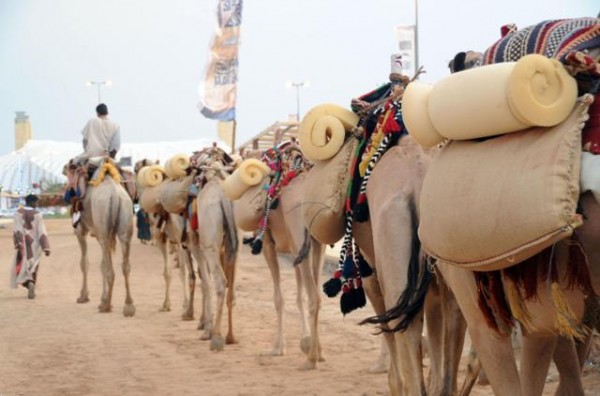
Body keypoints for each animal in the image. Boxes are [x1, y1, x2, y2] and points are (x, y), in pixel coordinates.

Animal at [66, 158, 135, 316]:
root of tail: (115, 196)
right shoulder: (99, 233)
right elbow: (102, 264)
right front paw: (101, 299)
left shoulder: (81, 230)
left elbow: (84, 263)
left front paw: (83, 296)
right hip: (124, 225)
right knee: (125, 265)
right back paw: (128, 306)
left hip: (103, 225)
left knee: (111, 270)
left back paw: (107, 306)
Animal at [227, 143, 328, 372]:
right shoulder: (294, 250)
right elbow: (299, 296)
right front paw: (307, 342)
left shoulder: (268, 244)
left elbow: (278, 298)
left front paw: (277, 348)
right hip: (316, 244)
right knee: (316, 293)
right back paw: (316, 353)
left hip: (300, 237)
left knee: (315, 297)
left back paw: (310, 360)